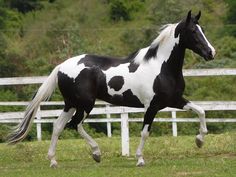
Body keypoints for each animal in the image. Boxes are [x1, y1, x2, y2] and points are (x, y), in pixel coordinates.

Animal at [8, 11, 216, 167]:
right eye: (193, 31)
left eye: (203, 29)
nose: (211, 53)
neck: (161, 67)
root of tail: (61, 67)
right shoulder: (151, 106)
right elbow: (145, 132)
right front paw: (139, 159)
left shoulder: (174, 100)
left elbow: (201, 111)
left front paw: (199, 140)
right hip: (85, 104)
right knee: (76, 125)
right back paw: (96, 153)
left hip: (71, 104)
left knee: (58, 126)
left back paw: (53, 161)